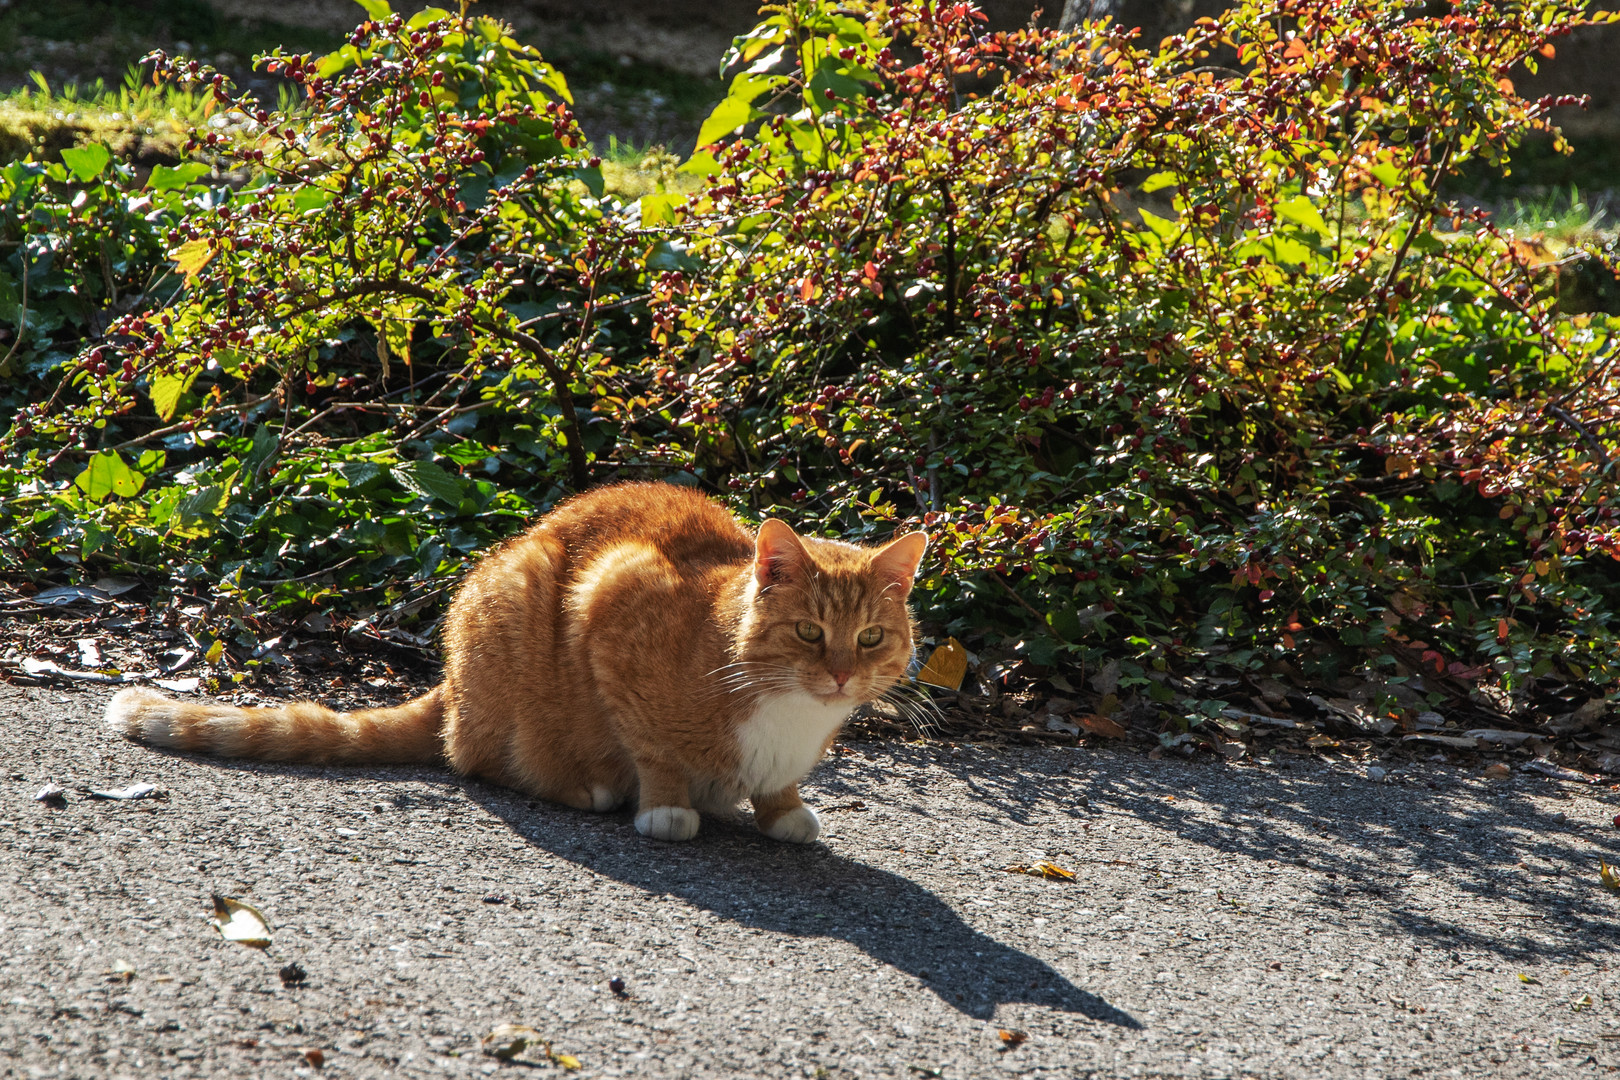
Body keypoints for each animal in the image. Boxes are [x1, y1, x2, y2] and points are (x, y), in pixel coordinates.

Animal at [104, 482, 926, 841]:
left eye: (870, 639)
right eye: (811, 633)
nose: (841, 676)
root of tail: (450, 683)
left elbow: (778, 788)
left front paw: (781, 808)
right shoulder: (614, 597)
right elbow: (655, 749)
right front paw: (668, 806)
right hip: (520, 584)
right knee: (475, 756)